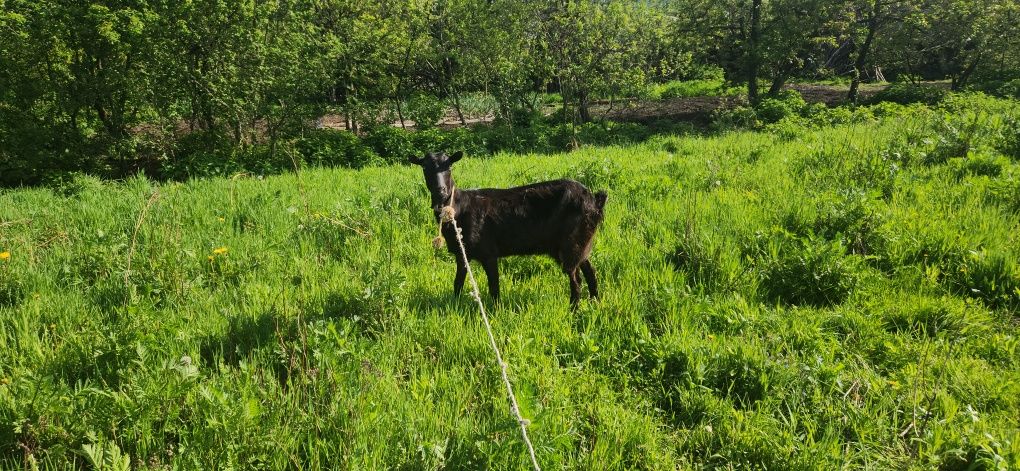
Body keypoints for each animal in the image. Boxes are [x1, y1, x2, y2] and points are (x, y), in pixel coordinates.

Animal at [412, 148, 607, 307]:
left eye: (450, 166)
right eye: (424, 168)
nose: (441, 191)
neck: (458, 208)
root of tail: (594, 200)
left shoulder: (488, 252)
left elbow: (494, 286)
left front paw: (496, 312)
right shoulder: (462, 253)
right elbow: (458, 283)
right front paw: (454, 306)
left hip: (570, 243)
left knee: (576, 278)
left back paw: (573, 309)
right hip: (580, 242)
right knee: (590, 270)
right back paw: (594, 302)